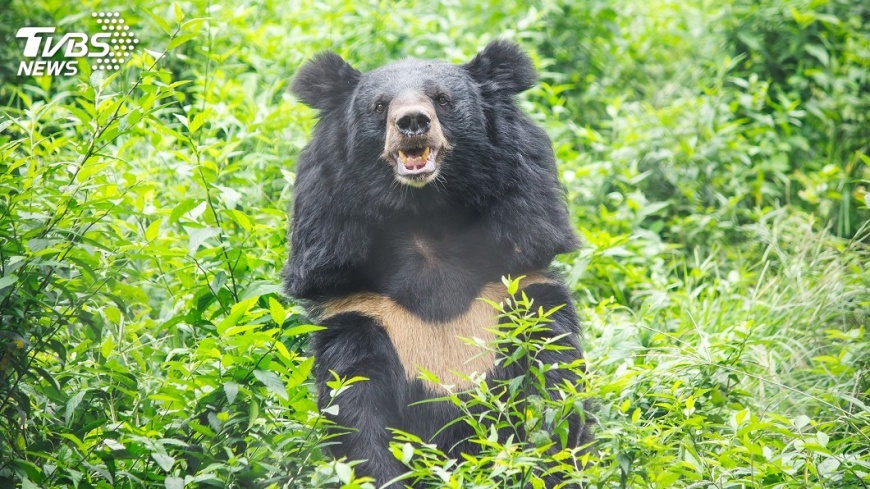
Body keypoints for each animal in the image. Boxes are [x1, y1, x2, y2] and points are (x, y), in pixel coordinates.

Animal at [285, 40, 590, 486]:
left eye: (443, 100)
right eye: (380, 106)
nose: (413, 121)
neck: (425, 215)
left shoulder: (520, 277)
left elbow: (553, 382)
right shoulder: (358, 305)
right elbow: (356, 405)